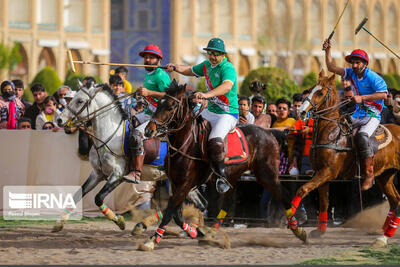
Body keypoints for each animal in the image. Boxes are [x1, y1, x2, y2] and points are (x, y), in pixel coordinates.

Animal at [138, 80, 306, 251]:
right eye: (159, 103)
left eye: (171, 107)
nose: (149, 130)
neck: (186, 144)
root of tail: (271, 133)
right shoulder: (175, 183)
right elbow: (176, 214)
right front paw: (196, 232)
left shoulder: (186, 184)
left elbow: (170, 211)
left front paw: (152, 240)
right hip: (233, 176)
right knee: (228, 202)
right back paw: (211, 232)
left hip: (267, 175)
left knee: (284, 195)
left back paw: (298, 230)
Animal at [292, 70, 400, 248]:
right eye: (311, 88)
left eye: (320, 93)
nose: (300, 112)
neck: (331, 132)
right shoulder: (321, 173)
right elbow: (324, 201)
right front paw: (319, 231)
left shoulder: (328, 172)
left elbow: (302, 189)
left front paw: (297, 230)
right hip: (385, 175)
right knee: (395, 200)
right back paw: (383, 236)